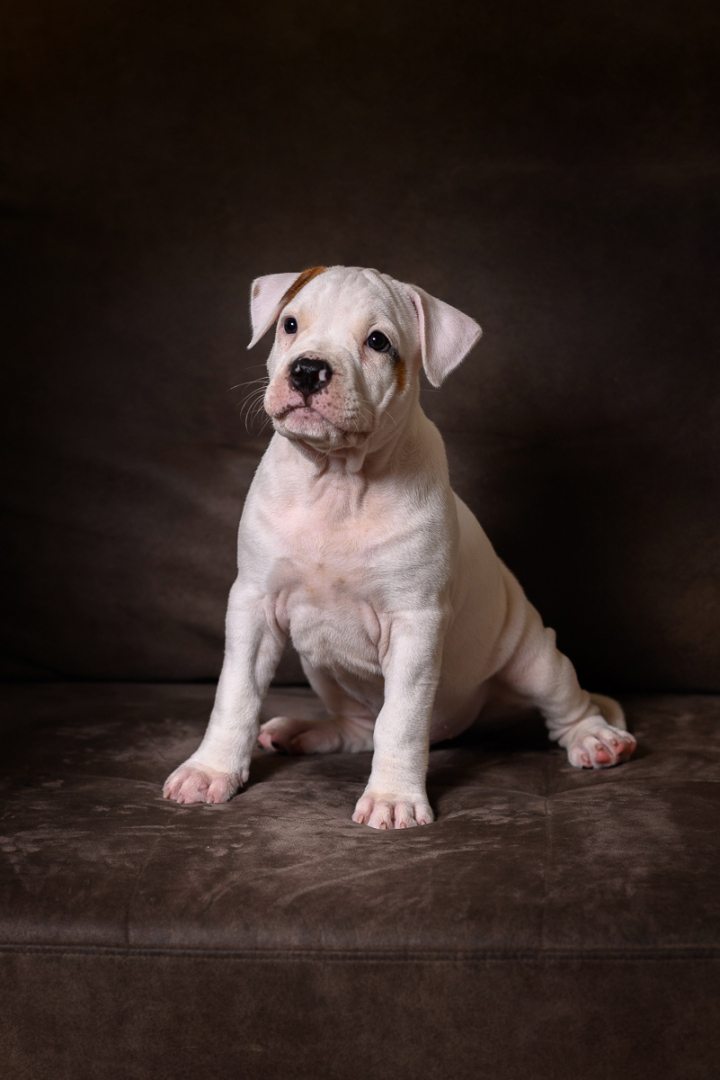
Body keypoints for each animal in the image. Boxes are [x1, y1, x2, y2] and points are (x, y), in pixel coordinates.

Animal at [162, 263, 634, 825]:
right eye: (290, 325)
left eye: (378, 342)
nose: (307, 370)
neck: (337, 481)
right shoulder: (253, 604)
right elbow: (234, 694)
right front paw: (210, 770)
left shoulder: (414, 623)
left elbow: (402, 719)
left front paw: (392, 799)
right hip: (323, 669)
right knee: (357, 728)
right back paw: (299, 731)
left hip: (533, 659)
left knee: (566, 703)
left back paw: (596, 740)